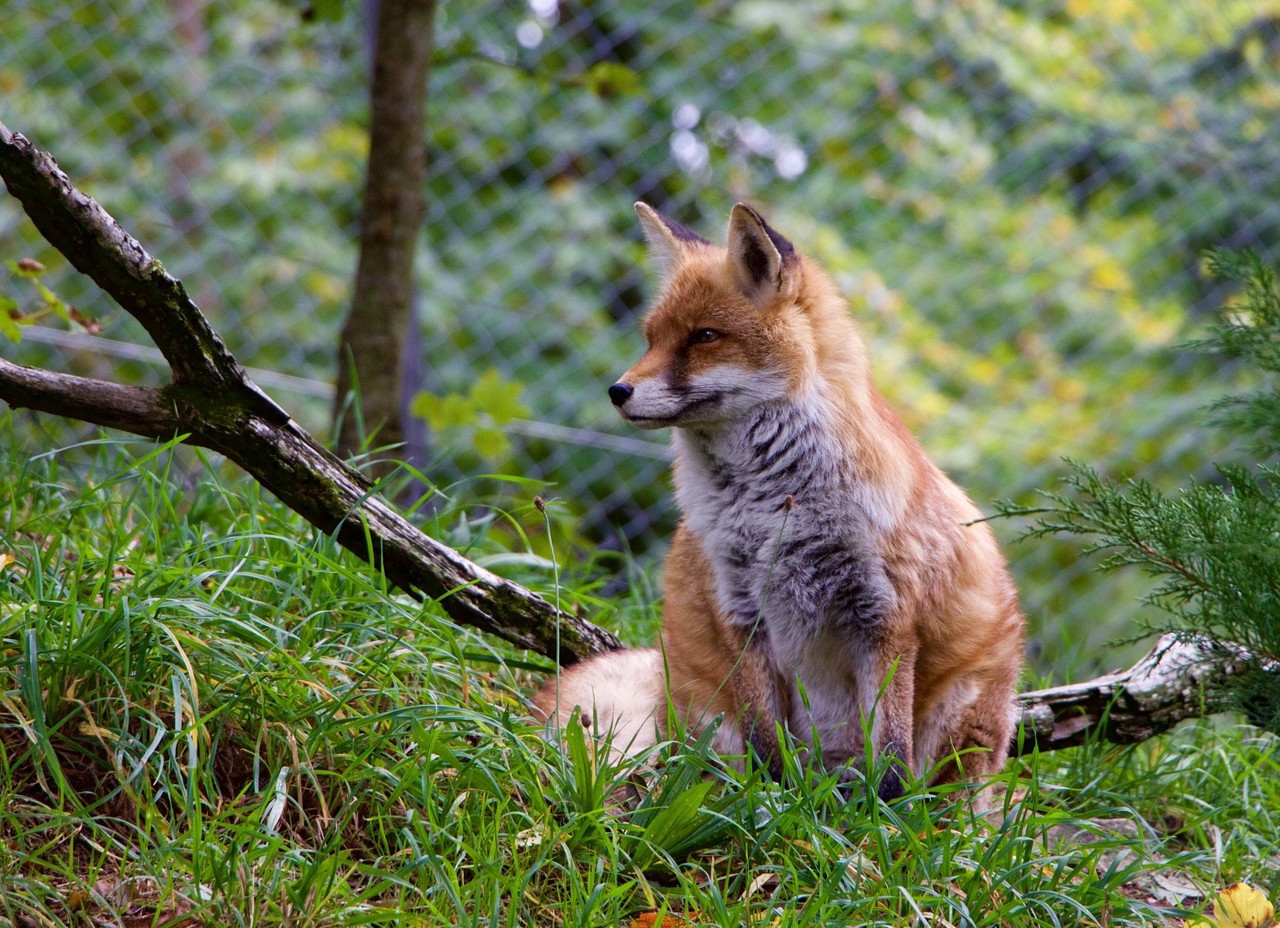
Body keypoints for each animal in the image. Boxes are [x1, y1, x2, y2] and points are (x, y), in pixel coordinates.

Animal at [535, 201, 1024, 800]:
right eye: (650, 338)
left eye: (704, 335)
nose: (617, 391)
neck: (772, 507)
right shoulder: (740, 610)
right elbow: (766, 745)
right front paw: (770, 802)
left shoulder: (885, 616)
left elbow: (889, 756)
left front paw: (882, 815)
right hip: (703, 711)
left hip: (965, 720)